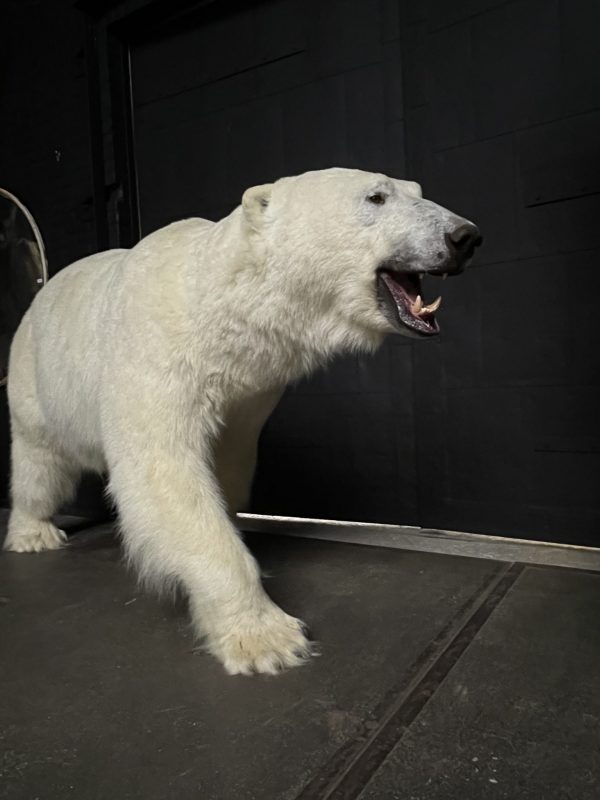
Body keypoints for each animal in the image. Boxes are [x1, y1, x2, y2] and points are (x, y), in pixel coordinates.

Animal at [2, 169, 480, 676]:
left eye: (419, 191)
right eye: (376, 196)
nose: (465, 236)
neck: (218, 303)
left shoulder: (248, 391)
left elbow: (227, 464)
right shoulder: (155, 353)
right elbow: (163, 472)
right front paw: (266, 638)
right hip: (35, 376)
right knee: (39, 464)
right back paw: (34, 533)